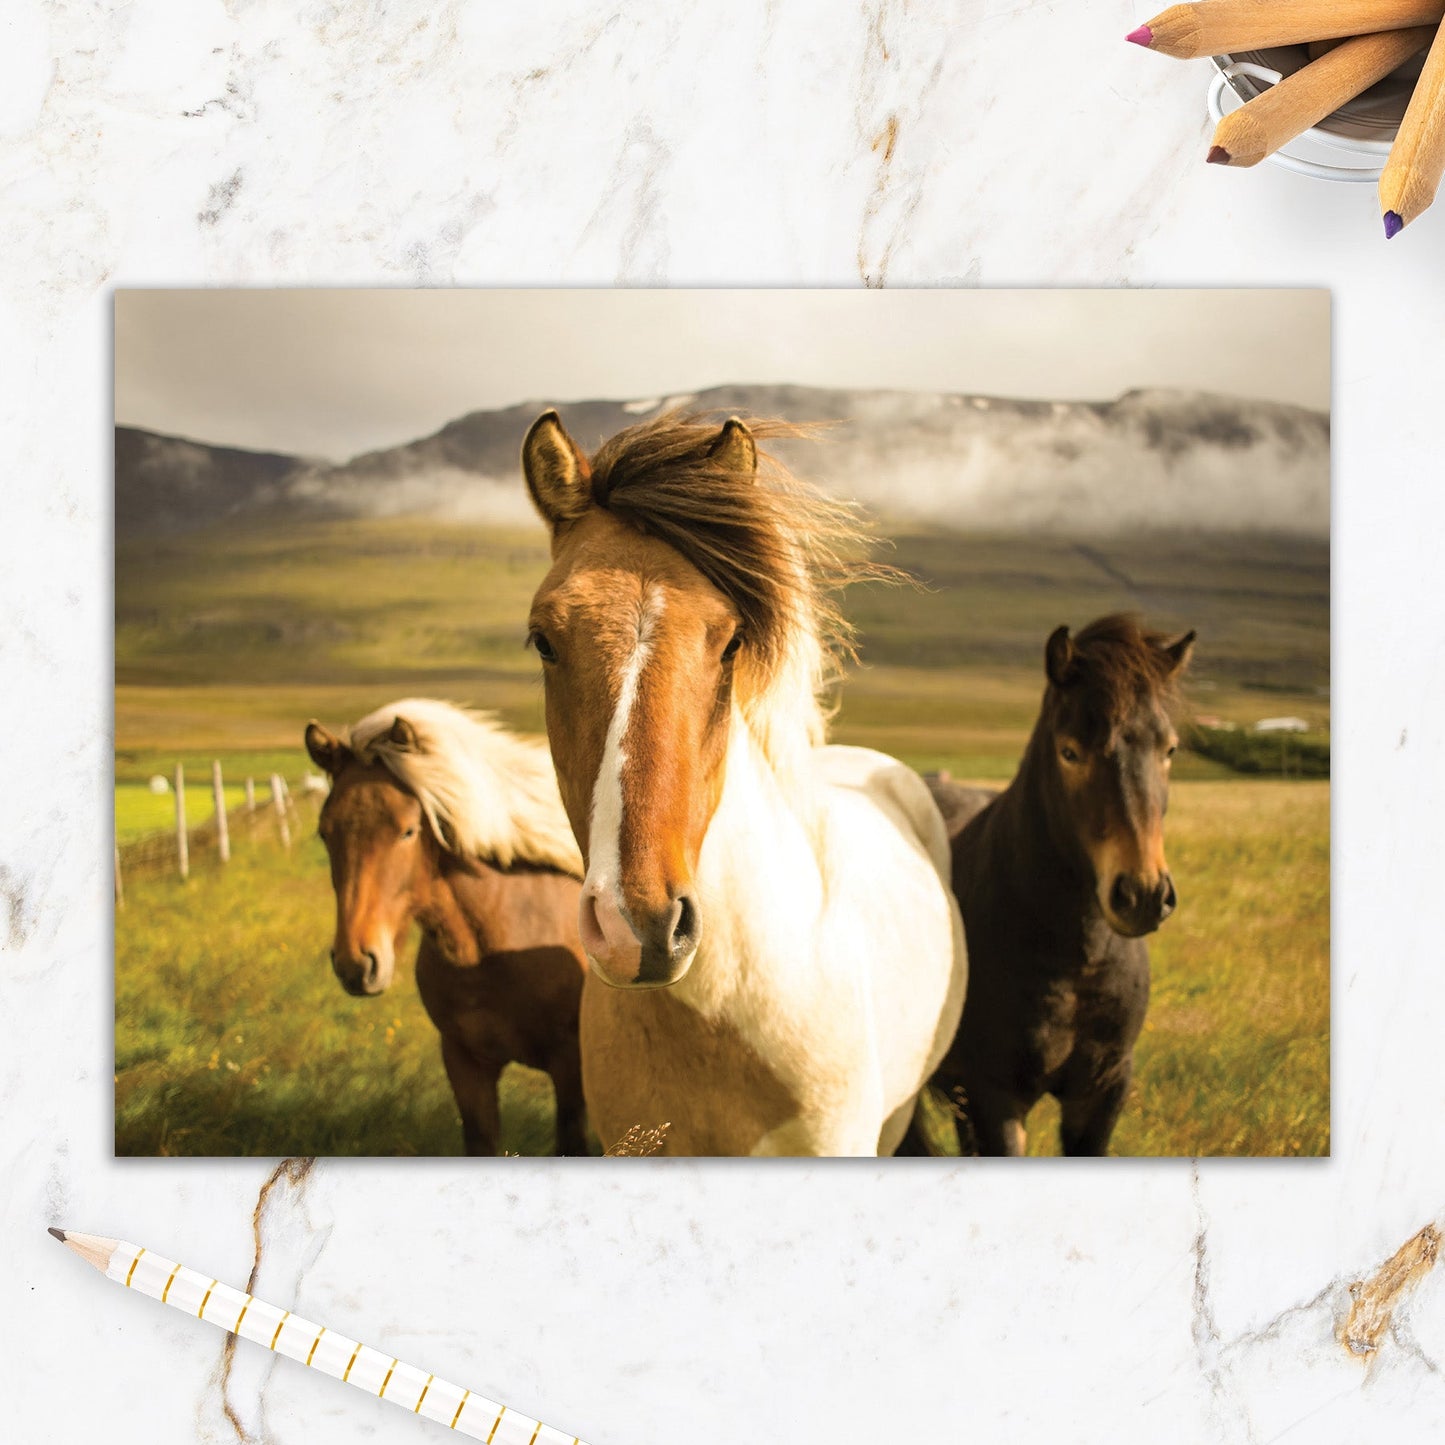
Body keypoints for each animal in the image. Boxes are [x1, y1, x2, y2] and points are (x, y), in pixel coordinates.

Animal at [924, 614, 1195, 1157]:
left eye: (1170, 749)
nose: (1143, 896)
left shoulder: (1102, 1093)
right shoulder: (996, 1097)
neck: (1076, 961)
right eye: (1070, 751)